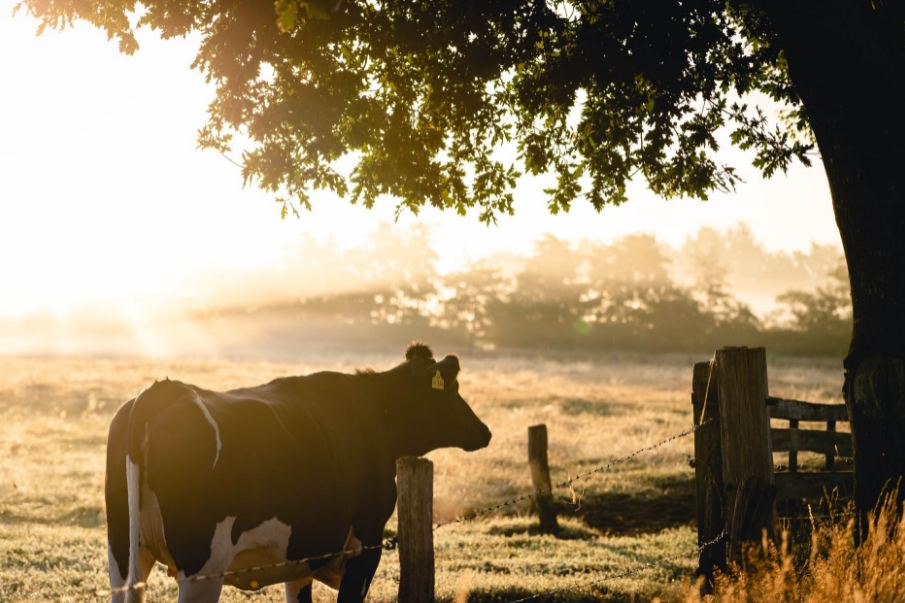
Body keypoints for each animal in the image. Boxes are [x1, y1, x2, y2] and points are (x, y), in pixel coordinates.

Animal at [105, 343, 491, 603]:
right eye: (452, 390)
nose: (484, 431)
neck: (373, 414)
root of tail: (163, 390)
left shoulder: (302, 556)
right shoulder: (366, 544)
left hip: (124, 556)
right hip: (202, 567)